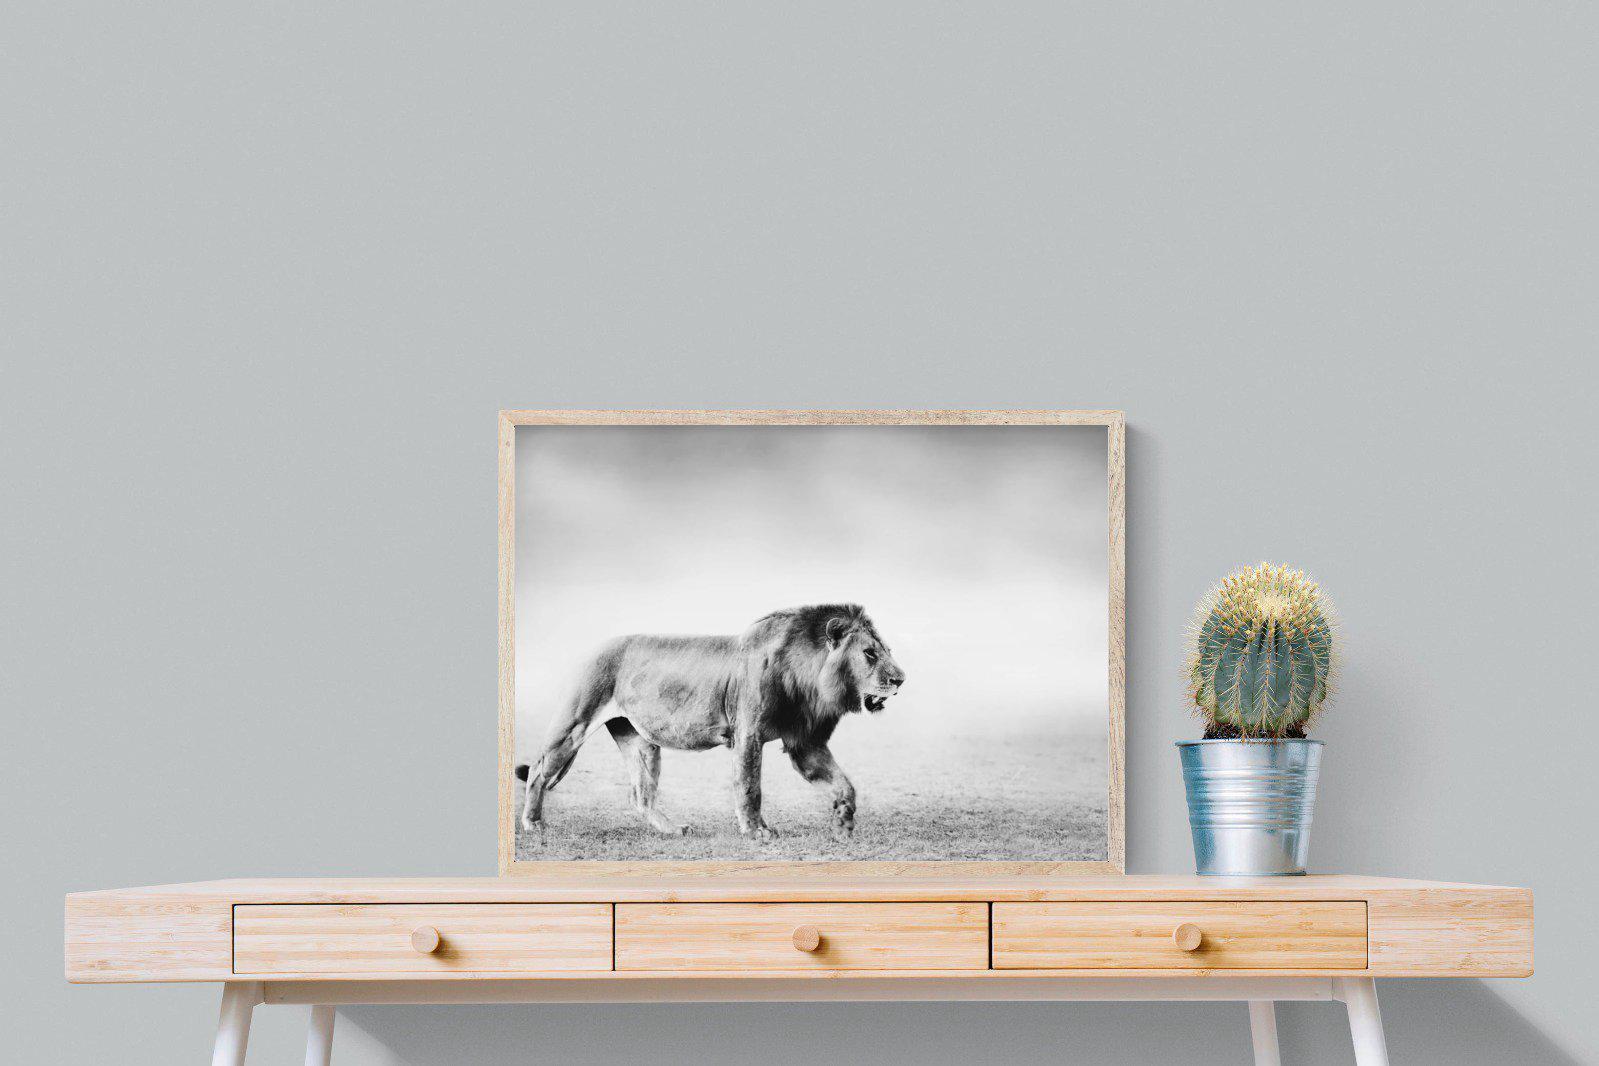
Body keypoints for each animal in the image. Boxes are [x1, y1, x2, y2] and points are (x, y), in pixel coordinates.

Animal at [516, 604, 905, 842]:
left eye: (887, 651)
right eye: (870, 653)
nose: (901, 679)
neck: (809, 679)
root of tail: (591, 648)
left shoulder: (804, 742)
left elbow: (844, 785)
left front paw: (844, 823)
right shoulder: (748, 733)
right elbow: (750, 787)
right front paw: (755, 832)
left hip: (640, 741)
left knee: (640, 795)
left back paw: (672, 829)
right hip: (574, 722)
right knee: (538, 770)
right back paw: (533, 823)